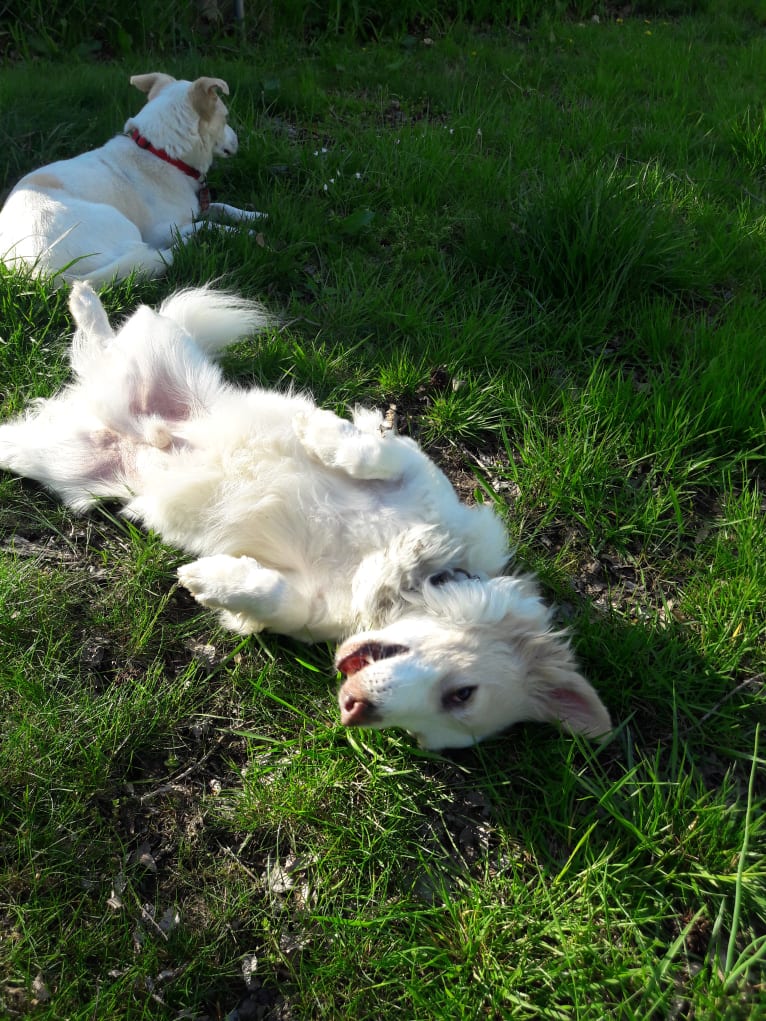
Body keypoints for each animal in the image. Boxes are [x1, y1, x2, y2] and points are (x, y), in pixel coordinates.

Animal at [0, 74, 263, 285]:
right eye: (226, 118)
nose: (238, 140)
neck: (161, 152)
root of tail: (44, 274)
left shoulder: (199, 205)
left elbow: (222, 207)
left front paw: (256, 216)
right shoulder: (162, 231)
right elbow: (208, 224)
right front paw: (244, 234)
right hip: (121, 225)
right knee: (155, 253)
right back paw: (185, 246)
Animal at [0, 287, 612, 751]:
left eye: (428, 730)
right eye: (462, 693)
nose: (354, 710)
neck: (411, 574)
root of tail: (111, 417)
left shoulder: (308, 604)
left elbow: (270, 599)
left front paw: (212, 581)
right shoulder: (416, 474)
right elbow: (378, 451)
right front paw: (321, 432)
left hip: (47, 458)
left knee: (80, 370)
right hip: (162, 347)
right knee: (112, 337)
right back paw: (85, 299)